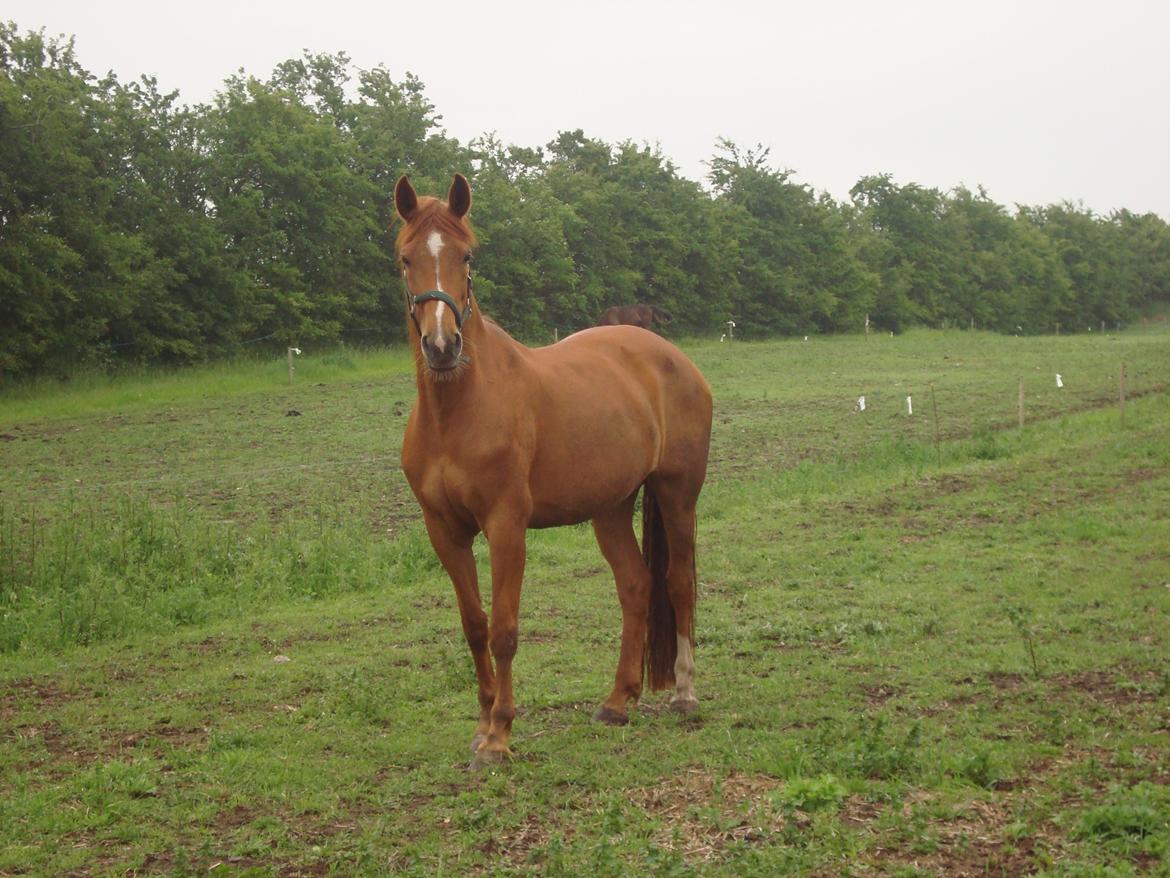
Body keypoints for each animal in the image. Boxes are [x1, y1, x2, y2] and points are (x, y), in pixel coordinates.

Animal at [393, 173, 711, 767]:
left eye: (467, 255)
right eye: (405, 258)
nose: (443, 346)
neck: (457, 411)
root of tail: (669, 354)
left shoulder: (505, 526)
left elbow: (504, 629)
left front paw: (500, 734)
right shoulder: (443, 531)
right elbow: (474, 626)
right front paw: (482, 724)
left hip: (678, 494)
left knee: (678, 582)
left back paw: (683, 692)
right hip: (611, 507)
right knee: (635, 585)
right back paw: (616, 702)